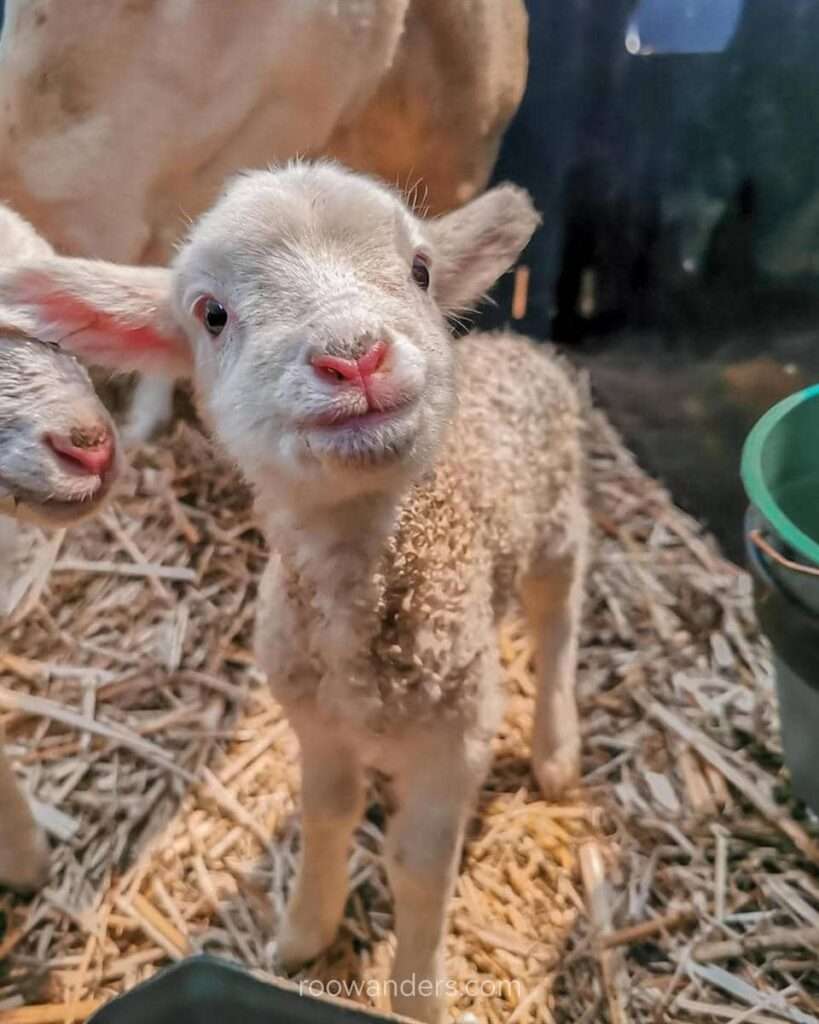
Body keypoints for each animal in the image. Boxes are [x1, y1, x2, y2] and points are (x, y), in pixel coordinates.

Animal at [0, 163, 589, 1019]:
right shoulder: (315, 723)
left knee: (557, 624)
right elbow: (325, 817)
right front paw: (306, 934)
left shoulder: (458, 736)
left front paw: (416, 992)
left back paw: (555, 749)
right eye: (211, 315)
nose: (355, 357)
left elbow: (420, 867)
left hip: (558, 526)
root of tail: (516, 343)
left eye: (419, 270)